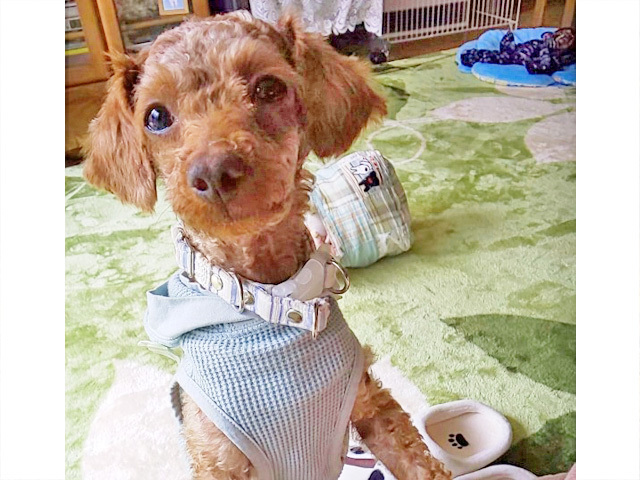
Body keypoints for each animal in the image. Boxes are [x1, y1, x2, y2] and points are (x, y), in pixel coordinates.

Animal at [83, 11, 450, 480]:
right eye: (156, 116)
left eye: (269, 87)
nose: (214, 171)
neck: (268, 301)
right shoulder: (217, 457)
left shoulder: (371, 406)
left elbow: (417, 459)